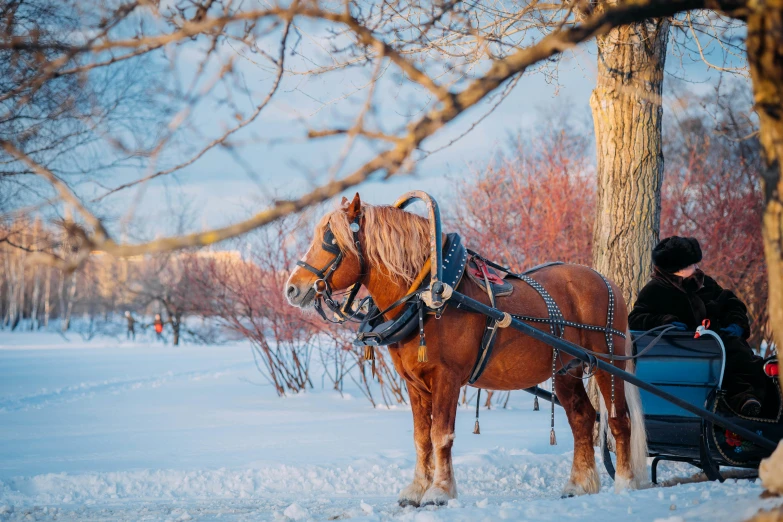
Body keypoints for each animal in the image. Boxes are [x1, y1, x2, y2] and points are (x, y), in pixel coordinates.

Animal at [284, 194, 648, 504]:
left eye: (331, 241)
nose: (292, 289)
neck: (426, 297)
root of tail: (606, 281)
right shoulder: (414, 384)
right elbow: (421, 437)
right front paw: (416, 489)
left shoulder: (446, 378)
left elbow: (441, 435)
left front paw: (439, 492)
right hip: (566, 369)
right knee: (582, 419)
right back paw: (578, 485)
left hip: (607, 362)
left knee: (619, 420)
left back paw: (625, 484)